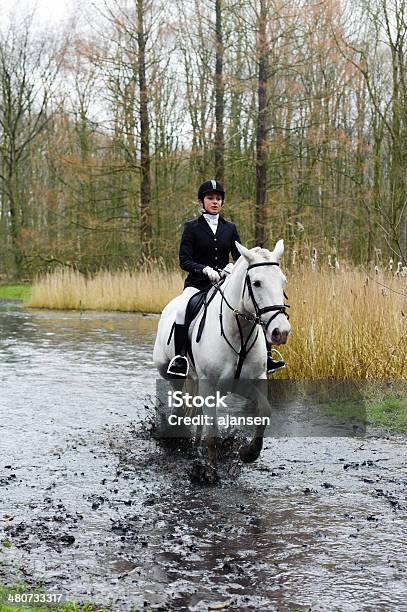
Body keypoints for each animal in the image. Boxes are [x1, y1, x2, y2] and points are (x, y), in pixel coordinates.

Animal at [153, 241, 290, 466]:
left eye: (283, 281)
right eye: (257, 283)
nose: (282, 332)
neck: (238, 333)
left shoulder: (250, 382)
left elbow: (264, 411)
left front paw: (249, 452)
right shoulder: (209, 384)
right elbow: (213, 433)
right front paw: (210, 469)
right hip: (169, 372)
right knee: (179, 400)